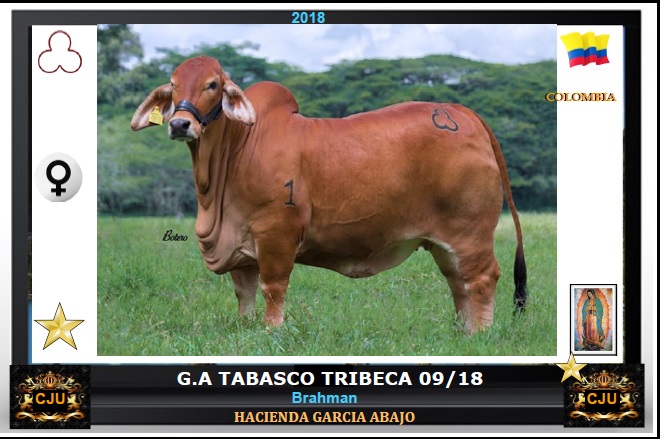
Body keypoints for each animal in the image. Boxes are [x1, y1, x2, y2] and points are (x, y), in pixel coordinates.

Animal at [131, 56, 528, 333]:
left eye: (212, 84)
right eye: (173, 84)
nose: (180, 124)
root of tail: (463, 112)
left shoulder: (275, 234)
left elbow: (273, 287)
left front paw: (272, 330)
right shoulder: (241, 248)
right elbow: (244, 292)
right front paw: (246, 327)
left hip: (471, 232)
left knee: (482, 277)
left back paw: (481, 333)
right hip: (444, 242)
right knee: (457, 282)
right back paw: (464, 331)